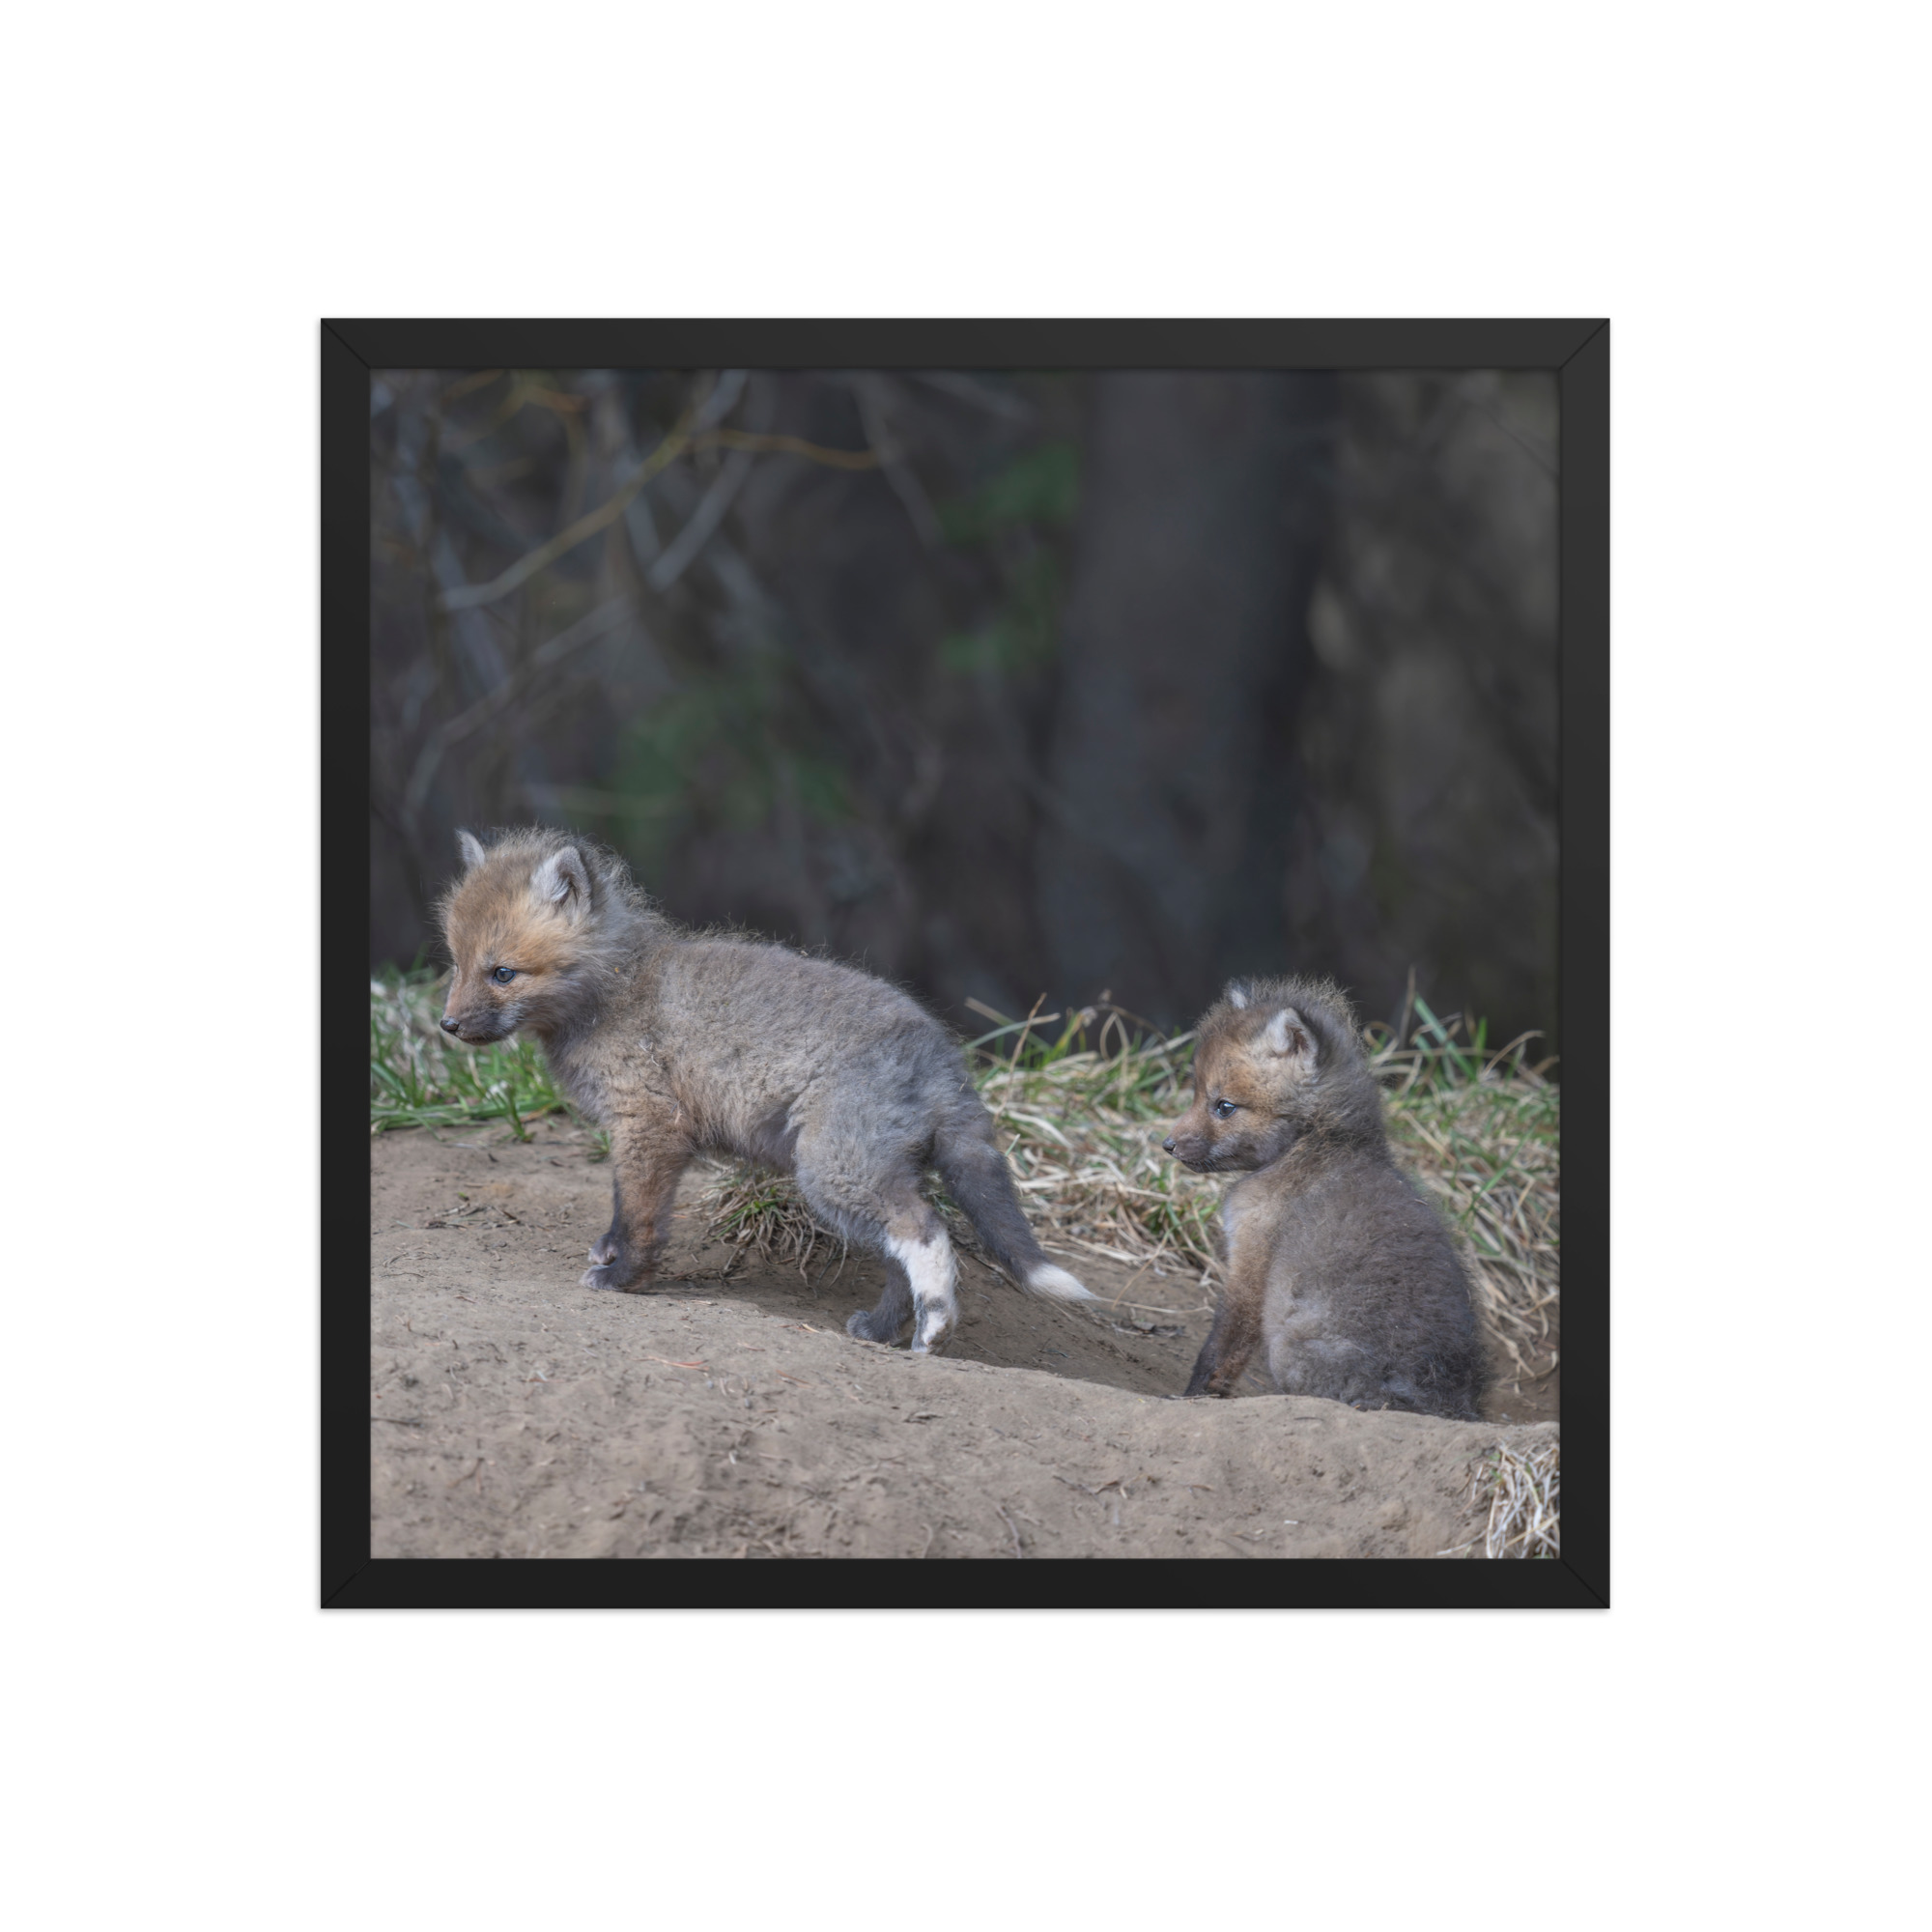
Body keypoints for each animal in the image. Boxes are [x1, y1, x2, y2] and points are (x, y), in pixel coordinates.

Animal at [435, 826, 1094, 1352]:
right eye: (456, 964)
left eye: (503, 973)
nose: (447, 1026)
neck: (614, 990)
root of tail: (942, 1054)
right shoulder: (643, 1134)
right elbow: (625, 1209)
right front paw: (611, 1254)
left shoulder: (649, 1125)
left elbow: (639, 1215)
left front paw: (623, 1278)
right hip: (865, 1178)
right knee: (898, 1258)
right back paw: (883, 1330)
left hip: (834, 1172)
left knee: (926, 1232)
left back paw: (935, 1328)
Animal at [1161, 976, 1484, 1420]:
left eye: (1224, 1106)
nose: (1167, 1145)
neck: (1317, 1144)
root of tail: (1440, 1401)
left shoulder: (1251, 1259)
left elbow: (1220, 1349)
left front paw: (1192, 1398)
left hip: (1287, 1349)